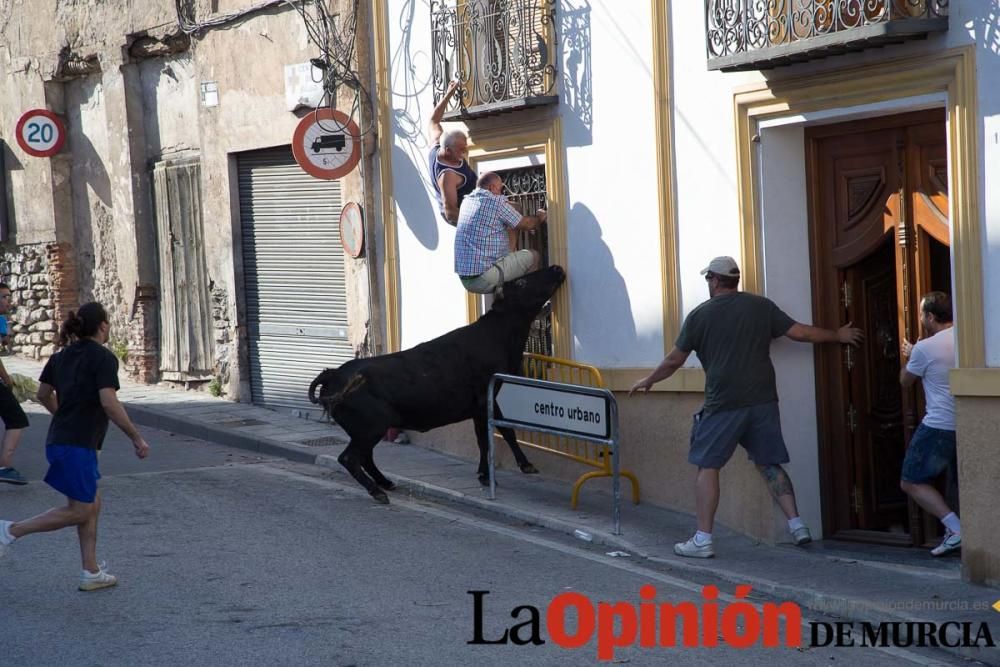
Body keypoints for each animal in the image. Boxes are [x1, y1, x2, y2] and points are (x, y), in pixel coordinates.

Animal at [308, 264, 568, 500]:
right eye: (521, 282)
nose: (556, 267)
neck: (499, 335)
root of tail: (333, 373)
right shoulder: (485, 399)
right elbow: (500, 432)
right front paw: (518, 467)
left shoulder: (479, 405)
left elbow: (488, 437)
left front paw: (488, 473)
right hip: (372, 426)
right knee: (350, 457)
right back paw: (377, 491)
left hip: (366, 430)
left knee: (365, 457)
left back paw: (386, 483)